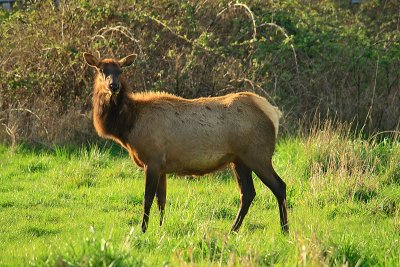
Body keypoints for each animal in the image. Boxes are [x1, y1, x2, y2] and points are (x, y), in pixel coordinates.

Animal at [83, 52, 288, 234]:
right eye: (101, 69)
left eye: (120, 70)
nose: (114, 86)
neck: (128, 126)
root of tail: (274, 113)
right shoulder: (161, 166)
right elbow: (161, 200)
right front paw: (160, 228)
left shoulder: (152, 160)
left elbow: (147, 199)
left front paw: (142, 230)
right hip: (239, 160)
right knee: (248, 193)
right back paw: (233, 230)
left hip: (258, 155)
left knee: (279, 186)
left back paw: (284, 230)